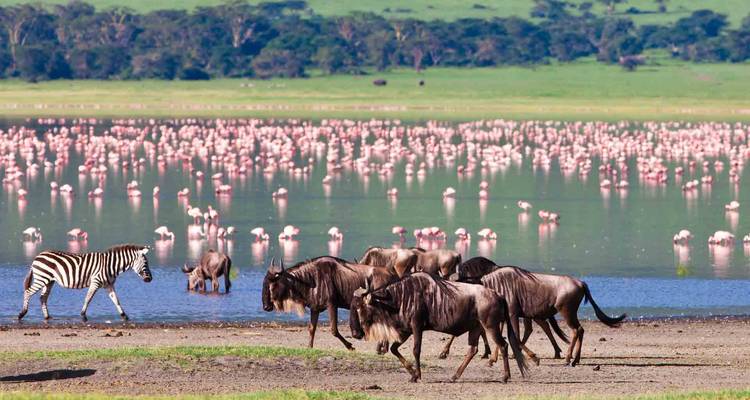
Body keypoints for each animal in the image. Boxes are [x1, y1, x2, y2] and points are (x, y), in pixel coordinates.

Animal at [18, 244, 153, 322]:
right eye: (146, 263)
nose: (150, 279)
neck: (111, 265)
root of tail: (38, 256)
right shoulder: (96, 282)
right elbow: (88, 298)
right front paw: (83, 316)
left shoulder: (109, 285)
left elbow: (116, 300)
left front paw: (124, 316)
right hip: (42, 278)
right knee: (28, 292)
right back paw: (21, 314)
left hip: (49, 281)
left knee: (43, 297)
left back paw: (47, 317)